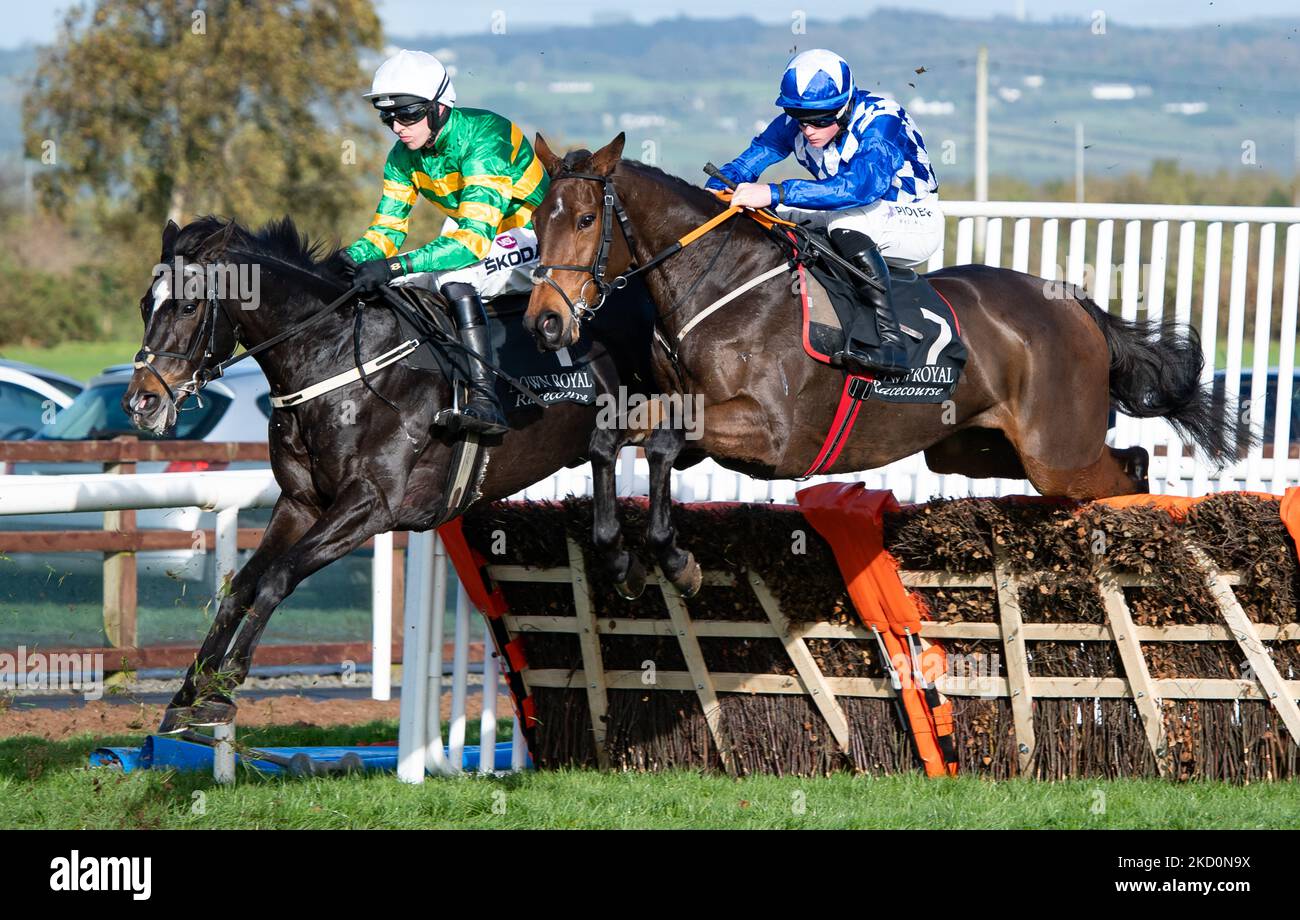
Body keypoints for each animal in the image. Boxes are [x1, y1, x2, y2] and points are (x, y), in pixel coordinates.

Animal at [126, 217, 655, 732]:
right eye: (145, 305)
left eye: (188, 305)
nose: (141, 402)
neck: (337, 361)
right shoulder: (301, 503)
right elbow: (240, 587)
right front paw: (189, 693)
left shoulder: (371, 505)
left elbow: (277, 577)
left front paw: (225, 684)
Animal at [522, 134, 1232, 597]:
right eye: (535, 217)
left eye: (584, 219)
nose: (544, 322)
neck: (723, 286)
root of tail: (1075, 302)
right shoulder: (695, 419)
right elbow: (614, 438)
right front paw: (619, 558)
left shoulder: (771, 435)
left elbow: (663, 443)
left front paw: (674, 559)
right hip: (971, 449)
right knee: (1124, 463)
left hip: (1058, 454)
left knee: (1127, 474)